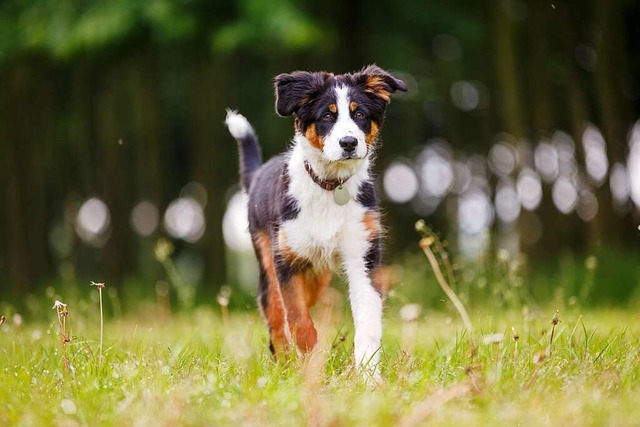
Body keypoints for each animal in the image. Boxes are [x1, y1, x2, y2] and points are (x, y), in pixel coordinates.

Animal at [225, 63, 404, 378]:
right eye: (327, 116)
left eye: (359, 114)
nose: (349, 142)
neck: (331, 186)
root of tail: (258, 174)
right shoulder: (286, 261)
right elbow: (297, 320)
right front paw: (312, 367)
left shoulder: (363, 255)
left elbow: (368, 323)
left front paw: (369, 377)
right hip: (268, 264)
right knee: (276, 319)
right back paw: (284, 365)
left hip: (317, 275)